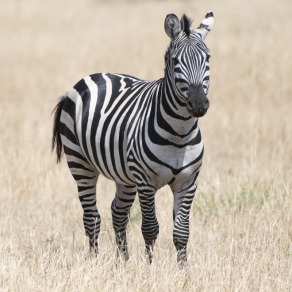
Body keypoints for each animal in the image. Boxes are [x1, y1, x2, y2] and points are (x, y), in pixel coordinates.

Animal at [51, 12, 213, 264]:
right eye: (175, 61)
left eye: (207, 58)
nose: (198, 104)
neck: (180, 132)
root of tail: (92, 76)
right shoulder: (145, 181)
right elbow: (150, 228)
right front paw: (150, 267)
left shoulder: (188, 182)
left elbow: (182, 231)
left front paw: (183, 269)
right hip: (81, 164)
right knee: (92, 217)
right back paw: (95, 261)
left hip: (124, 176)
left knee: (117, 213)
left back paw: (123, 262)